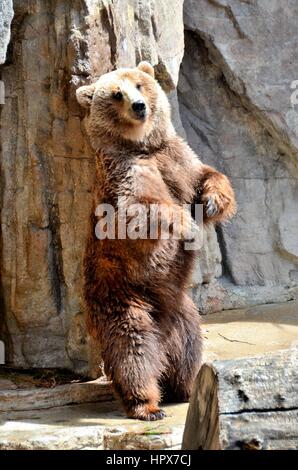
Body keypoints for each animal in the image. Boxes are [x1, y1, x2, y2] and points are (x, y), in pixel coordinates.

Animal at [76, 60, 235, 420]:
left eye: (139, 83)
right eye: (116, 93)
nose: (139, 106)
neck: (142, 145)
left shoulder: (175, 157)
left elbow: (206, 174)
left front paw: (212, 202)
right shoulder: (126, 174)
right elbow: (139, 211)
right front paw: (187, 224)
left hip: (183, 311)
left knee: (188, 347)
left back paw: (185, 387)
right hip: (122, 297)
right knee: (132, 349)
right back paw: (146, 404)